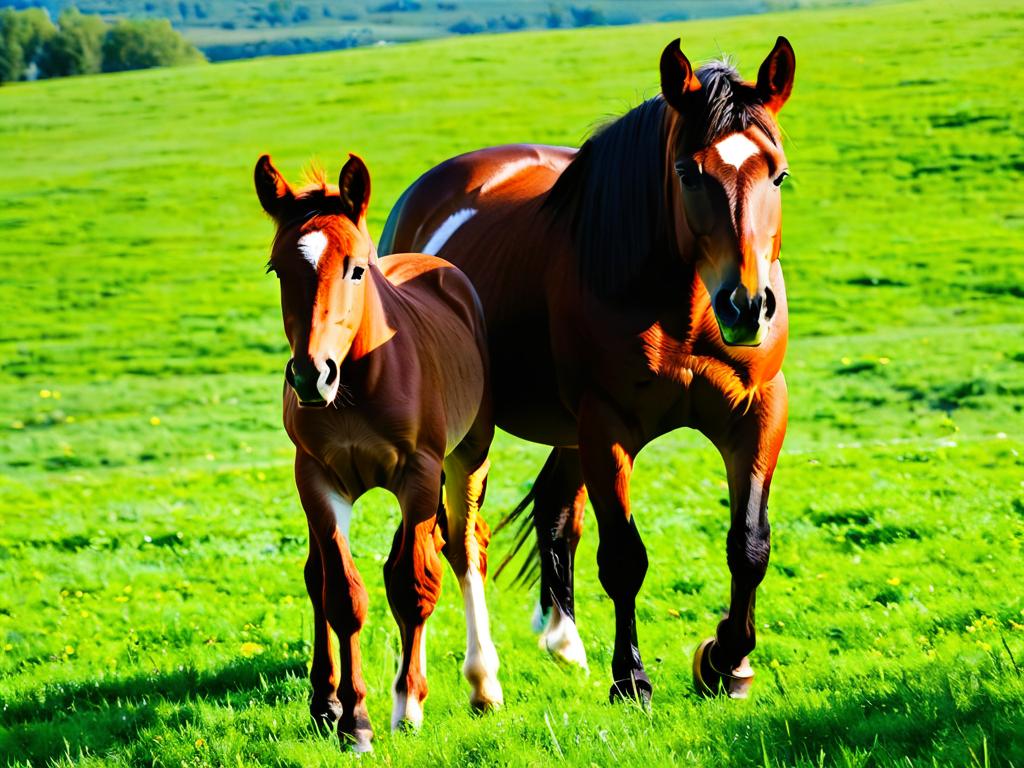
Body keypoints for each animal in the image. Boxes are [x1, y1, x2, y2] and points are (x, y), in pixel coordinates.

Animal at [256, 153, 503, 749]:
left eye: (355, 268)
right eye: (278, 270)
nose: (311, 374)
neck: (356, 385)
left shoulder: (420, 474)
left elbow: (413, 584)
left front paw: (407, 706)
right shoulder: (316, 480)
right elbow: (341, 594)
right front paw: (353, 719)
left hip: (468, 458)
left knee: (464, 550)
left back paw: (483, 685)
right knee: (323, 573)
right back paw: (326, 700)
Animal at [380, 40, 794, 704]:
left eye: (778, 174)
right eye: (687, 172)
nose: (747, 305)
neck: (680, 308)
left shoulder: (757, 413)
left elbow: (749, 547)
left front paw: (724, 661)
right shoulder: (607, 425)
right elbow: (624, 557)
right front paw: (633, 678)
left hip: (568, 432)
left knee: (554, 510)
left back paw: (564, 637)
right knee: (457, 534)